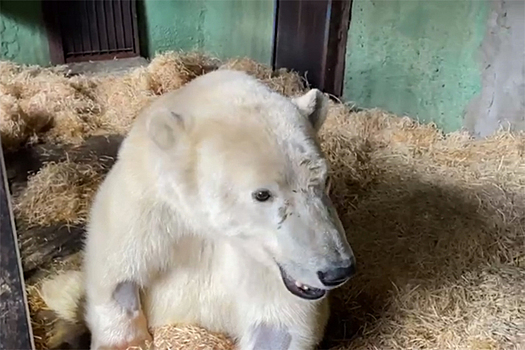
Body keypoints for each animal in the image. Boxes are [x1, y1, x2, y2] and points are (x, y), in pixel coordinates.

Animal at [39, 69, 354, 350]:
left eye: (325, 180)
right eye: (262, 194)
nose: (337, 270)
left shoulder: (258, 262)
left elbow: (278, 325)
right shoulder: (148, 207)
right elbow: (118, 277)